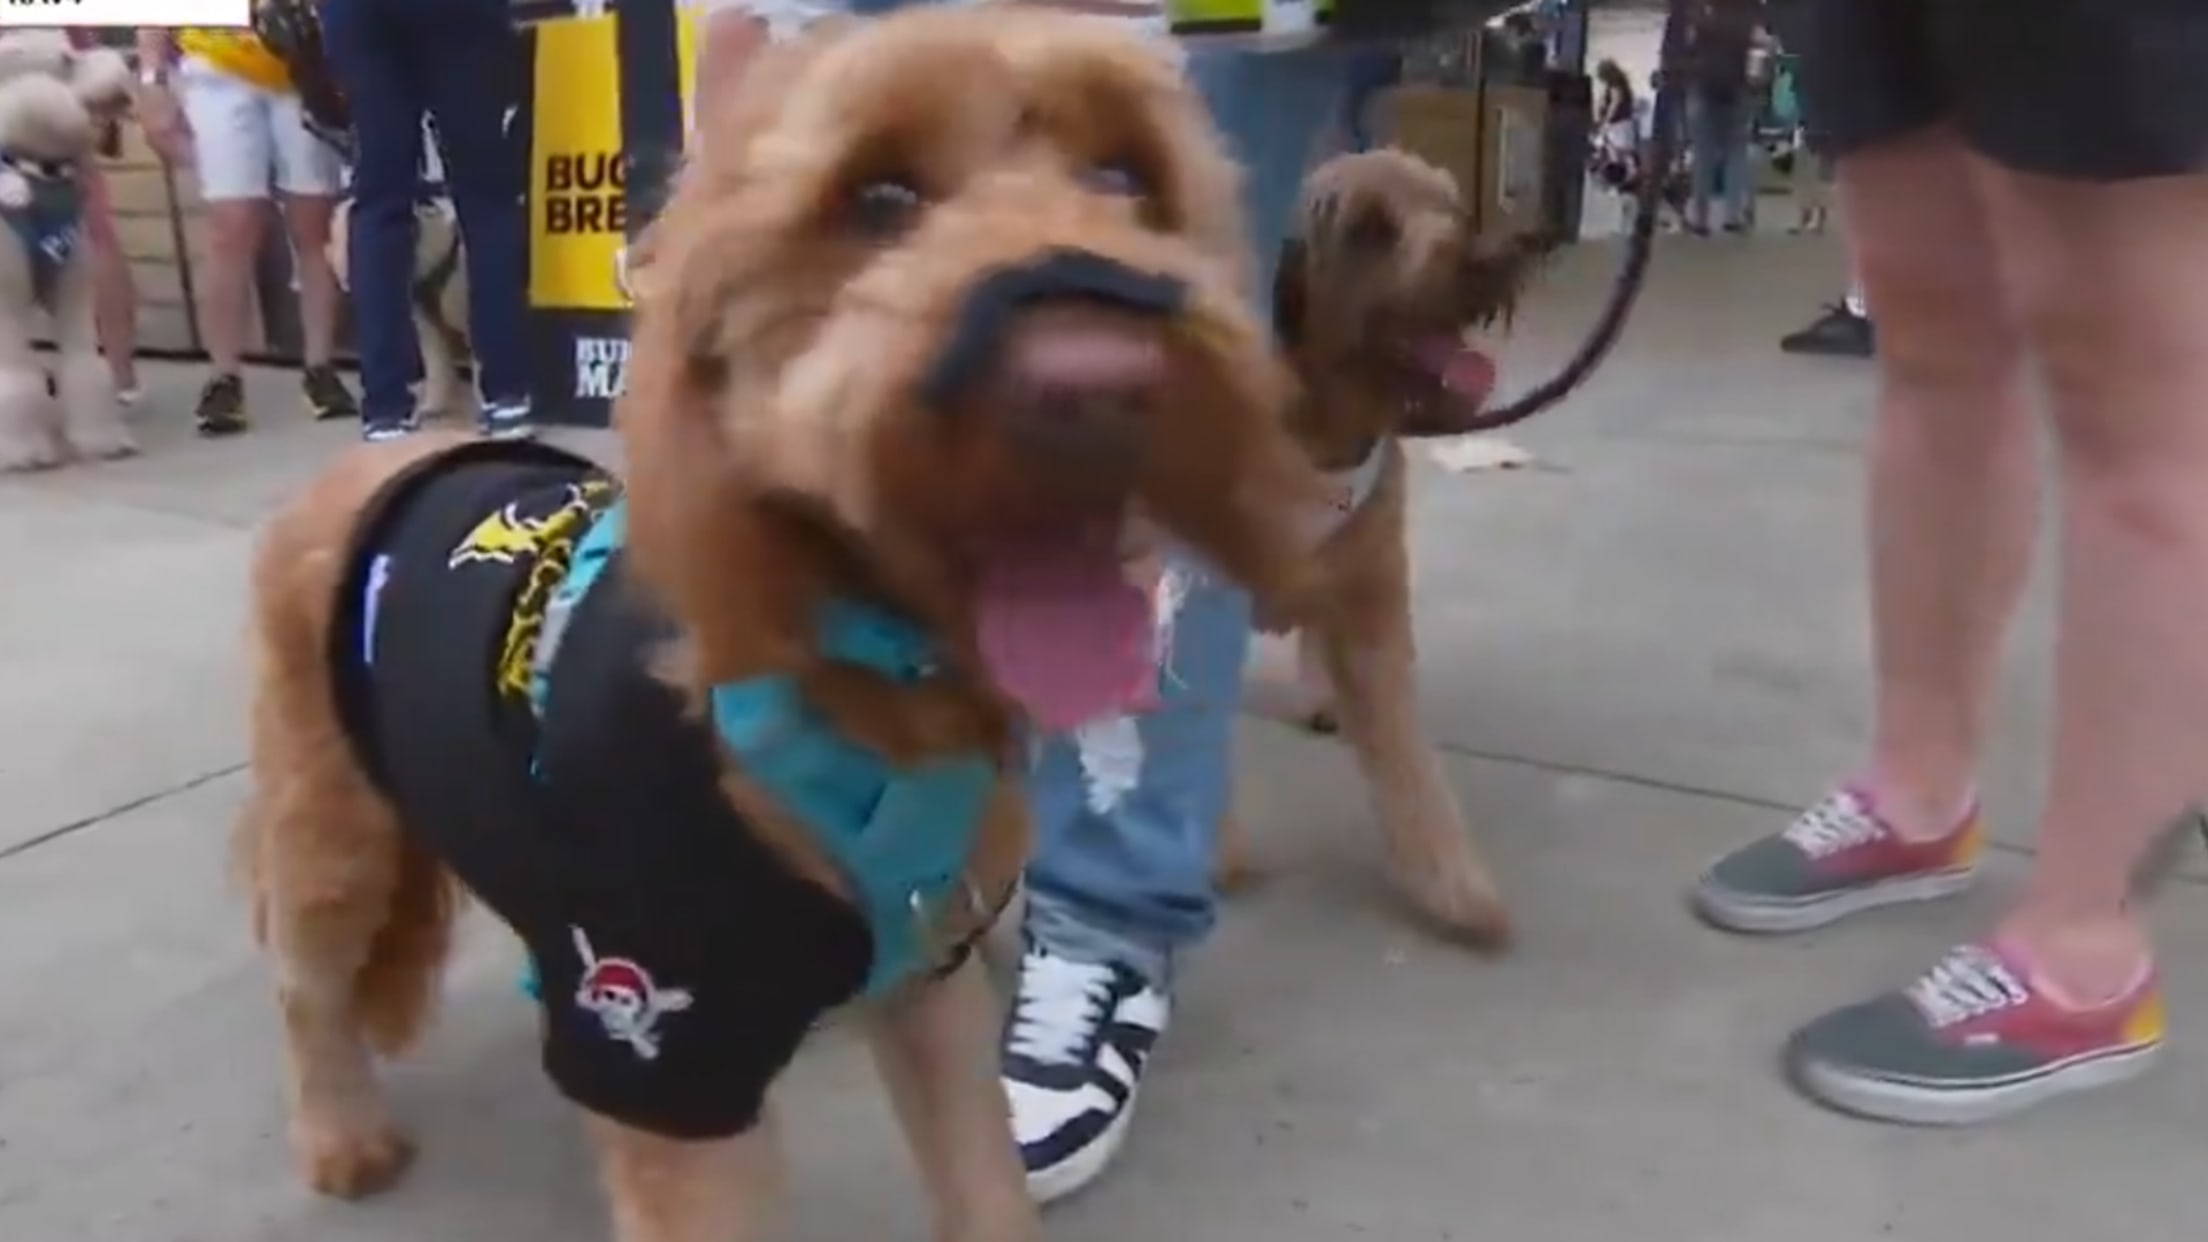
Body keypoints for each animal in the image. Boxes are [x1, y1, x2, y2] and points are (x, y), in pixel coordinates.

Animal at [232, 9, 1315, 1237]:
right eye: (878, 196)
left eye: (1128, 178)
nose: (1101, 378)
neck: (862, 682)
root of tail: (387, 459)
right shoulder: (668, 1058)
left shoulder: (925, 982)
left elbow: (984, 1181)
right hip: (332, 841)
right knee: (306, 988)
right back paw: (340, 1132)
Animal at [1209, 152, 1536, 945]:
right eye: (1369, 229)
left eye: (1452, 203)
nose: (1499, 255)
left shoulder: (1375, 615)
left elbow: (1412, 768)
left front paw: (1452, 883)